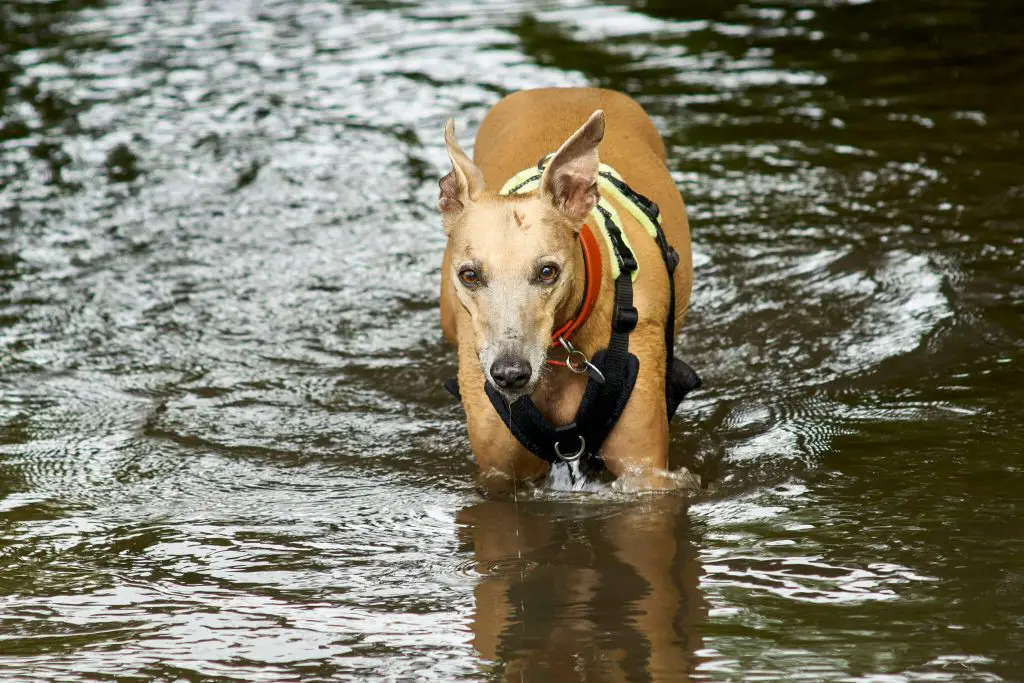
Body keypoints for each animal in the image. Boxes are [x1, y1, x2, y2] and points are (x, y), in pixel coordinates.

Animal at [436, 87, 692, 491]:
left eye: (547, 272)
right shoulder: (500, 472)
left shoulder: (645, 472)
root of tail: (563, 89)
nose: (510, 373)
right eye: (470, 275)